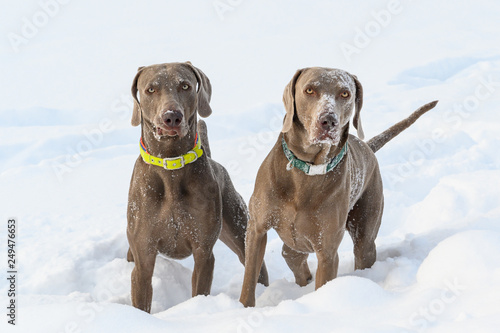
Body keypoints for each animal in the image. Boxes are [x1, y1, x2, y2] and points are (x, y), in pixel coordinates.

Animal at [239, 67, 438, 306]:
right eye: (309, 90)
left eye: (345, 93)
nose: (328, 121)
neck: (307, 170)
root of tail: (367, 146)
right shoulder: (256, 229)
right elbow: (249, 278)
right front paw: (244, 308)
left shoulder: (327, 250)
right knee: (291, 254)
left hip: (365, 231)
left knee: (361, 251)